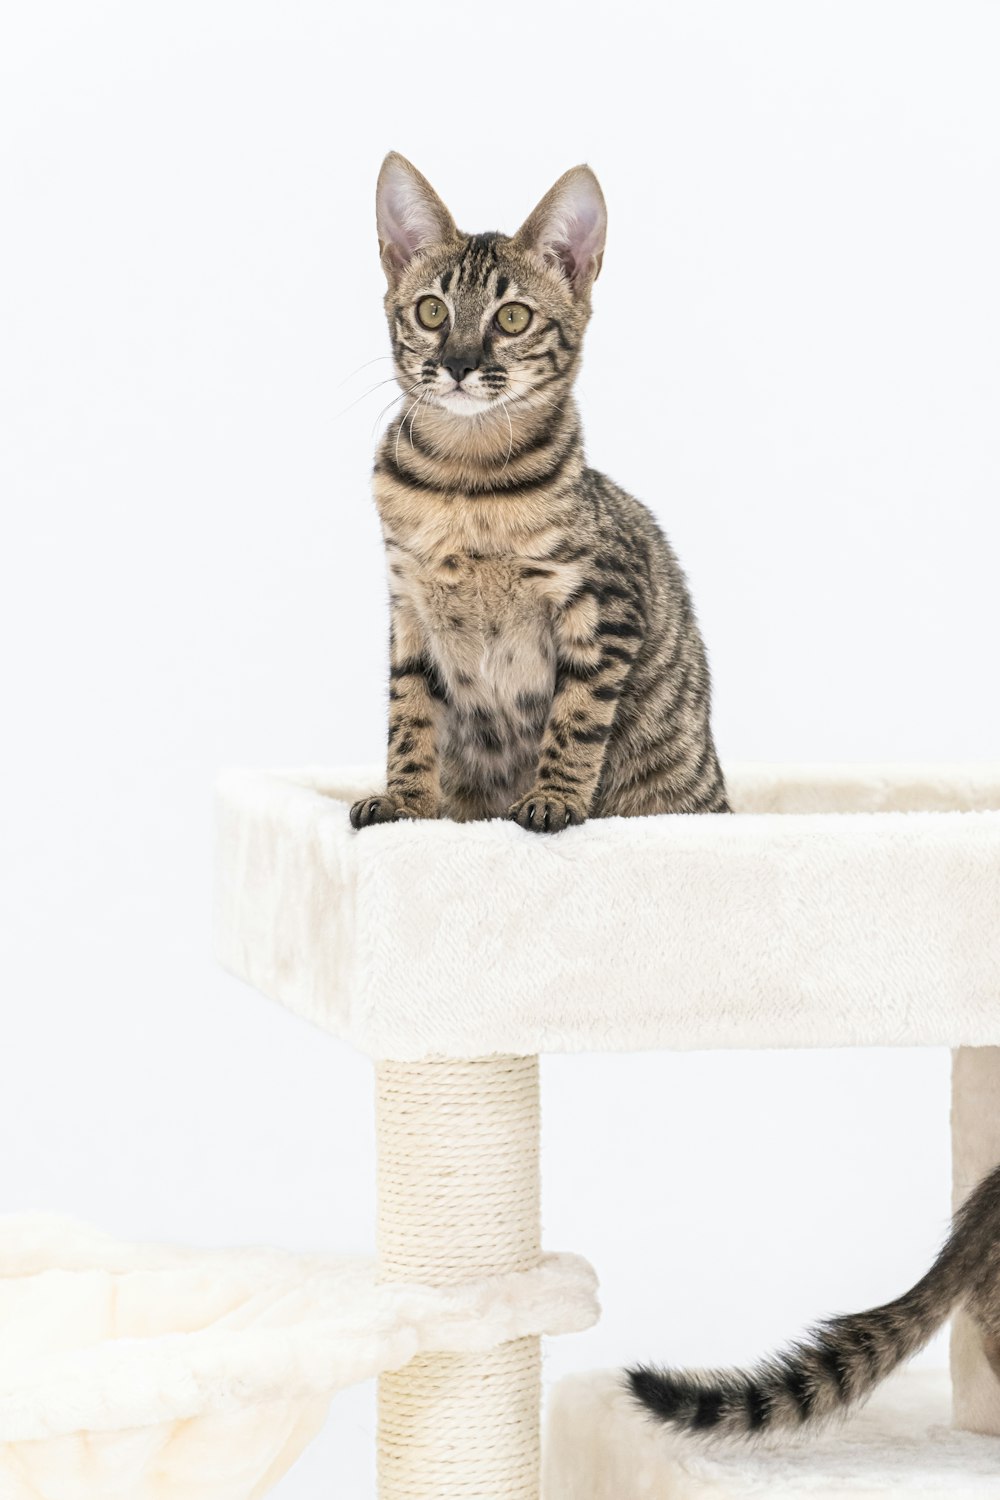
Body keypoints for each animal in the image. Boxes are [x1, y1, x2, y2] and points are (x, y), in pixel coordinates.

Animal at [352, 155, 728, 834]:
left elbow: (577, 719)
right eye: (431, 312)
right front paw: (406, 803)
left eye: (512, 318)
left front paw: (552, 798)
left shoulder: (603, 608)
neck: (464, 483)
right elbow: (408, 718)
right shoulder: (409, 612)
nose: (458, 364)